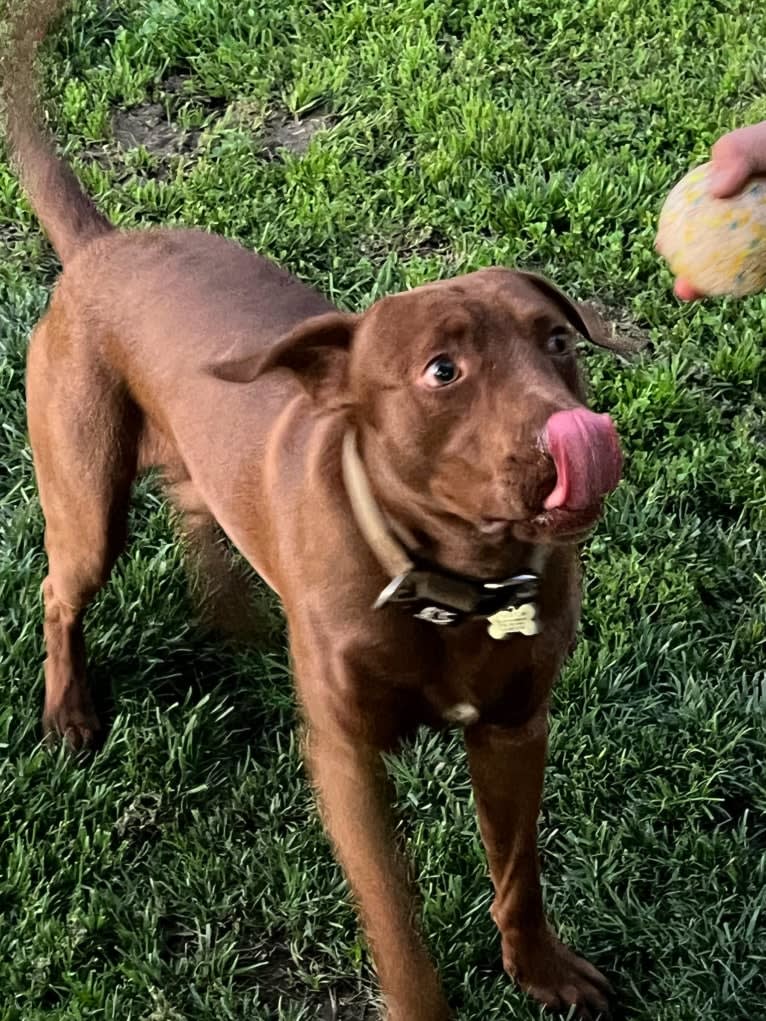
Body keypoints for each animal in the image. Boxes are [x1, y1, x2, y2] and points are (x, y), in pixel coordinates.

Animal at [4, 3, 629, 1016]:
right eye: (442, 370)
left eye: (557, 342)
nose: (571, 436)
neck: (451, 582)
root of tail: (102, 246)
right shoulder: (346, 763)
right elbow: (398, 924)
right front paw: (423, 999)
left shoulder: (513, 730)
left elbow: (518, 874)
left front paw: (540, 970)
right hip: (87, 498)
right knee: (63, 591)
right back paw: (69, 708)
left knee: (196, 503)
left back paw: (233, 614)